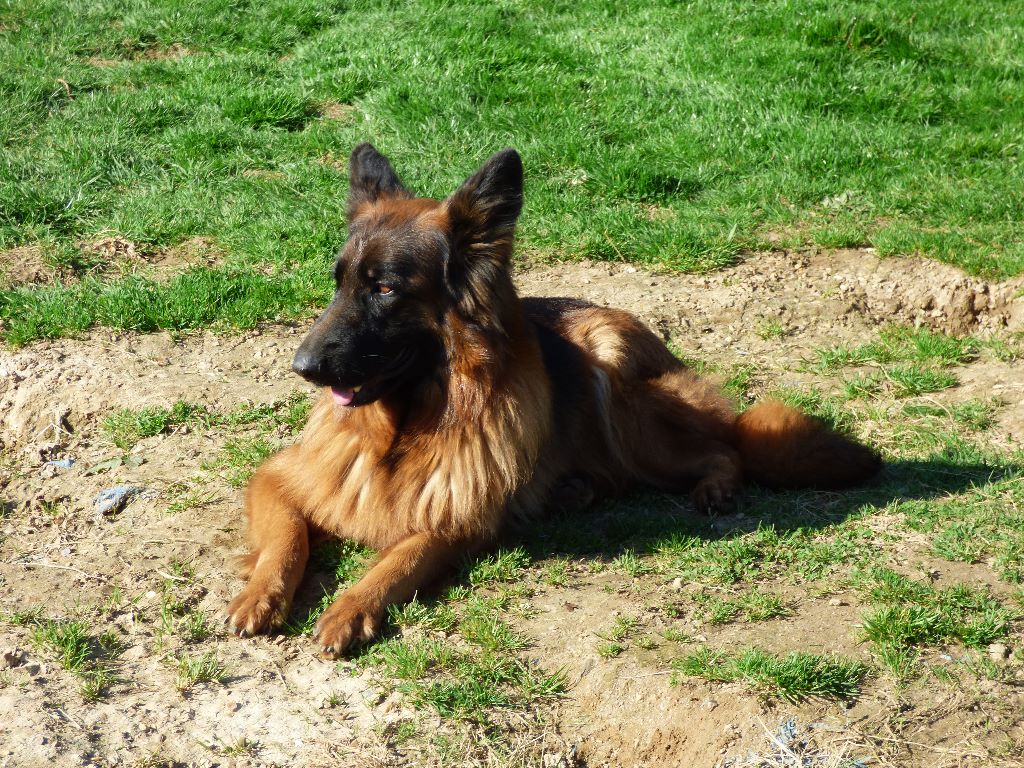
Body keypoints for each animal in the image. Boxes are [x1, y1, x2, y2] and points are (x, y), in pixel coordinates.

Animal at [224, 143, 880, 655]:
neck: (405, 431)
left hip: (615, 381)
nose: (301, 367)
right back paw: (573, 490)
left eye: (384, 289)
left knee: (724, 448)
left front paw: (350, 606)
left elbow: (396, 561)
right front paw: (259, 594)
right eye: (338, 284)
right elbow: (286, 539)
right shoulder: (282, 478)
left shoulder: (458, 521)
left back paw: (713, 484)